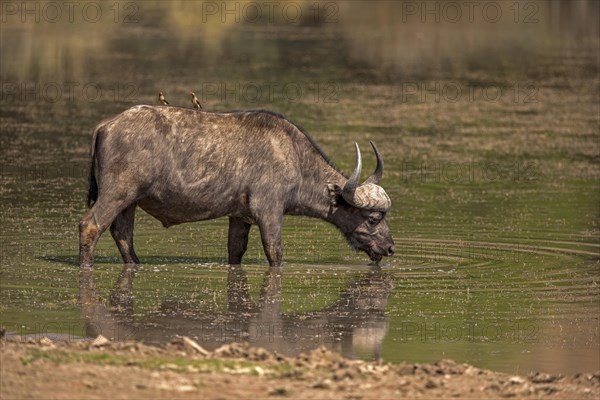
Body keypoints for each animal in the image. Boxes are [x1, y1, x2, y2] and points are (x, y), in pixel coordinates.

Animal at [79, 106, 396, 268]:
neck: (294, 158)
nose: (390, 247)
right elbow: (275, 252)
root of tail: (107, 124)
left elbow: (235, 251)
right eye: (373, 218)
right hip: (116, 193)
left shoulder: (239, 217)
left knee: (122, 233)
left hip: (130, 201)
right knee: (91, 226)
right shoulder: (269, 213)